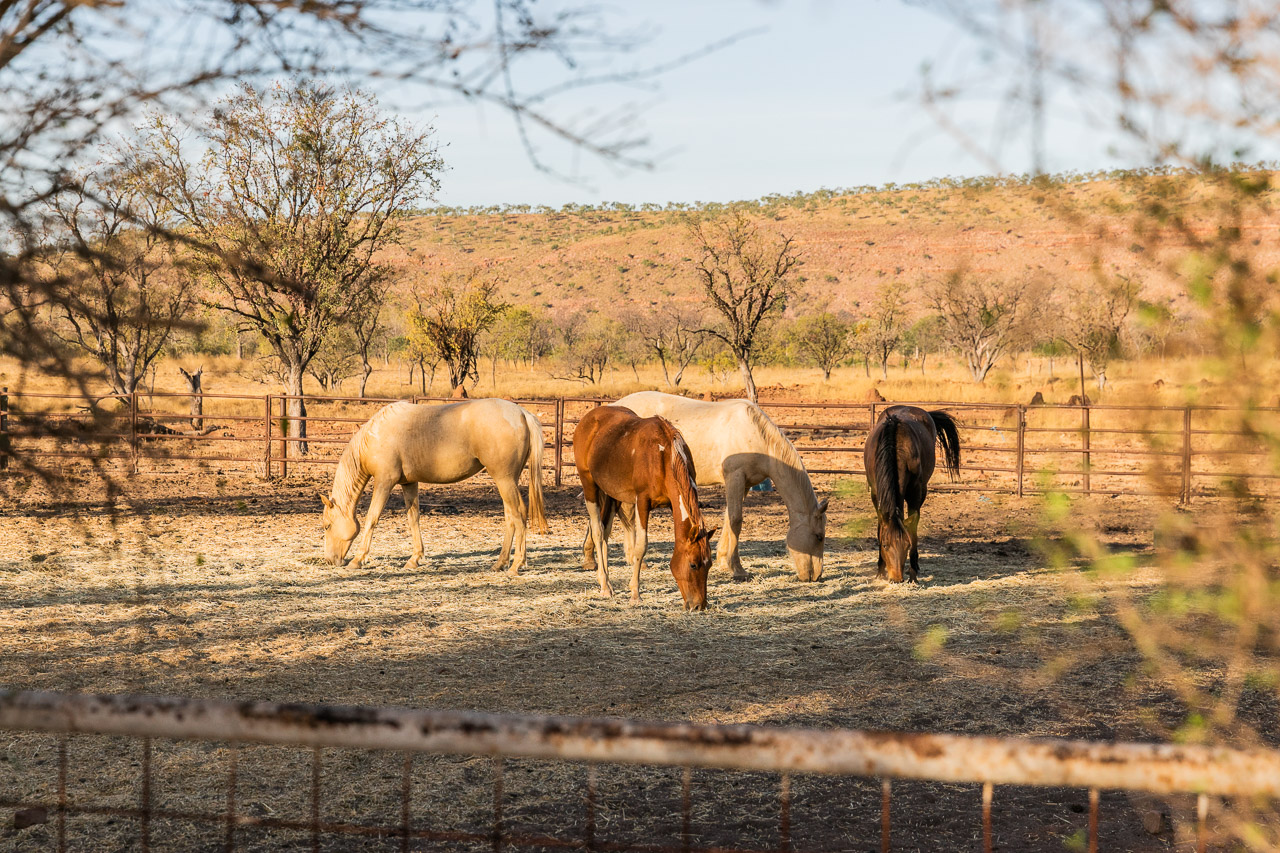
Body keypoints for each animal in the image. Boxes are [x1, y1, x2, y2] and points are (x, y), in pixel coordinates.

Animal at [322, 397, 547, 571]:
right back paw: (500, 563)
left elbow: (372, 518)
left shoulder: (384, 482)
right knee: (510, 517)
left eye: (327, 525)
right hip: (507, 481)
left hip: (504, 479)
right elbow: (413, 519)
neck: (375, 436)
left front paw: (358, 559)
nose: (330, 561)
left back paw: (517, 564)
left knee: (519, 513)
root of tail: (522, 413)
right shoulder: (409, 483)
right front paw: (414, 559)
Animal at [578, 404, 721, 607]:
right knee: (598, 531)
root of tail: (589, 417)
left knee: (605, 532)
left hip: (612, 495)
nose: (698, 605)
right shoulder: (642, 502)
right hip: (589, 486)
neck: (664, 456)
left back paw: (605, 581)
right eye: (693, 564)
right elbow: (641, 546)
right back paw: (605, 586)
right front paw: (635, 594)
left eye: (709, 564)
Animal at [586, 389, 824, 578]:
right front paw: (737, 569)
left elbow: (729, 519)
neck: (756, 436)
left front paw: (724, 561)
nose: (815, 576)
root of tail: (613, 408)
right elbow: (736, 520)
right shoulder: (735, 477)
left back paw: (595, 558)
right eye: (819, 536)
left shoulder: (743, 484)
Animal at [860, 404, 962, 578]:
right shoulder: (875, 493)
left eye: (906, 546)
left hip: (922, 490)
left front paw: (913, 572)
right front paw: (880, 569)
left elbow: (913, 528)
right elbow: (880, 527)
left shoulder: (915, 493)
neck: (894, 448)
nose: (896, 578)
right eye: (885, 545)